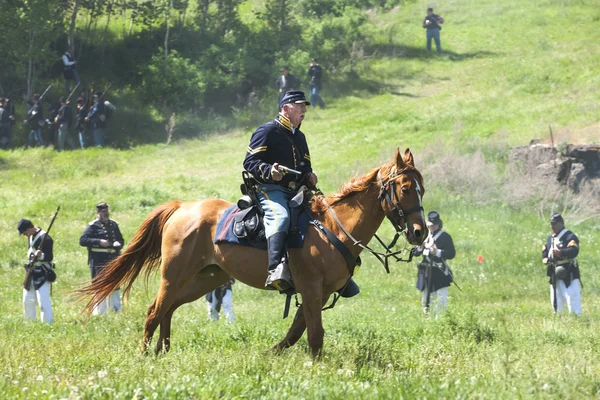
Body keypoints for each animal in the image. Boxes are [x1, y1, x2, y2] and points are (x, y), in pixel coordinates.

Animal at [78, 148, 426, 358]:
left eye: (422, 188)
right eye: (406, 188)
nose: (420, 232)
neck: (331, 227)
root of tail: (182, 208)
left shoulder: (320, 292)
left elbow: (297, 330)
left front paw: (274, 353)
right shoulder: (312, 289)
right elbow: (314, 333)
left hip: (206, 278)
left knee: (168, 308)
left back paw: (163, 350)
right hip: (175, 275)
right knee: (155, 310)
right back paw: (145, 354)